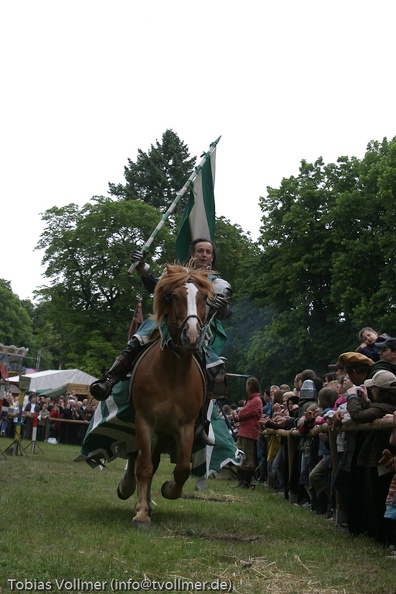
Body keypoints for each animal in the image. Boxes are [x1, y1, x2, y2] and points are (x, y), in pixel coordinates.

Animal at [117, 264, 215, 524]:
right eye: (174, 296)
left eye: (203, 298)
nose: (192, 336)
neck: (173, 374)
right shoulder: (144, 421)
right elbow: (143, 466)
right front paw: (141, 514)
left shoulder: (186, 427)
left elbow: (182, 468)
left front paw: (169, 489)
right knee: (138, 458)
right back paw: (128, 488)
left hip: (163, 434)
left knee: (154, 460)